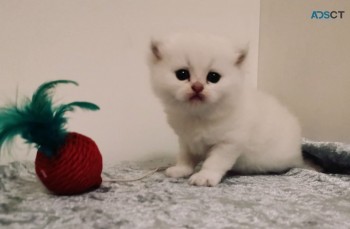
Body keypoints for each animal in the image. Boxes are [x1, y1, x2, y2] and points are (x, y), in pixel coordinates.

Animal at [148, 33, 304, 186]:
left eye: (213, 77)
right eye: (182, 74)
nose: (198, 87)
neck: (198, 115)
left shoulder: (228, 143)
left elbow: (214, 162)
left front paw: (205, 177)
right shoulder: (186, 140)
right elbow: (185, 156)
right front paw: (181, 169)